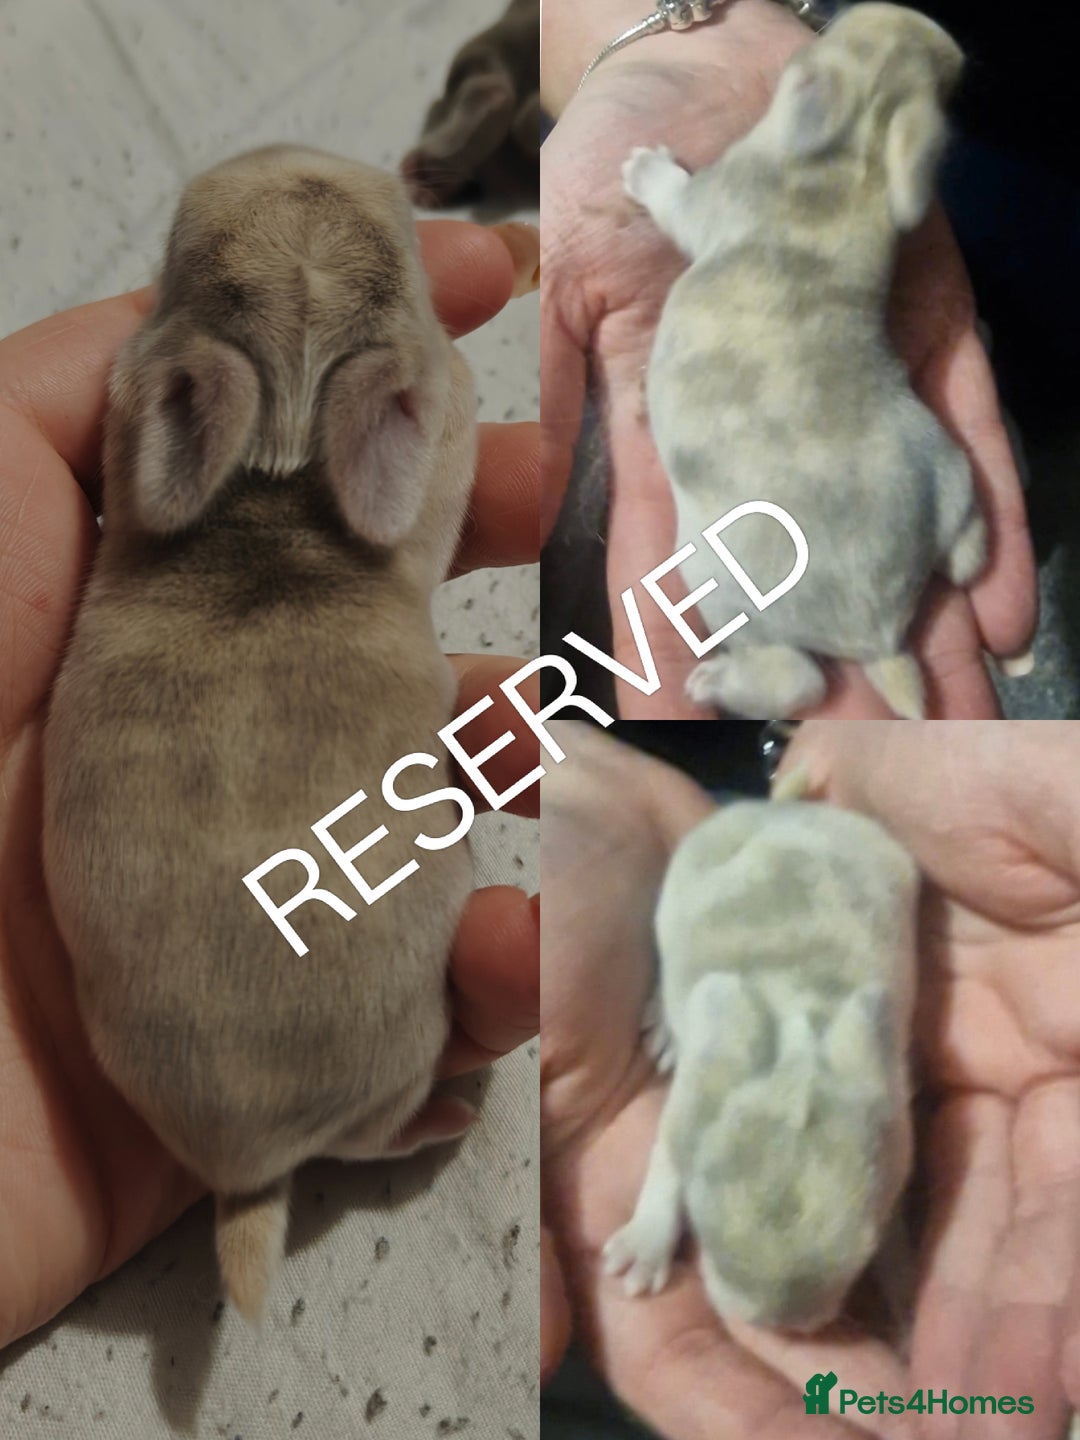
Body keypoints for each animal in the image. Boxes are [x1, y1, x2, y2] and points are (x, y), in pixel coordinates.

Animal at [603, 788, 919, 1331]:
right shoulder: (688, 1103)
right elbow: (665, 1162)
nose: (777, 1326)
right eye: (699, 1226)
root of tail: (784, 809)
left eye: (865, 1253)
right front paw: (638, 1259)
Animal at [622, 3, 987, 719]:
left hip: (713, 578)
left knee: (801, 679)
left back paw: (719, 683)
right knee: (968, 556)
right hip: (951, 470)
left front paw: (644, 168)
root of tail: (879, 634)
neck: (857, 153)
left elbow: (675, 200)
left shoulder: (716, 191)